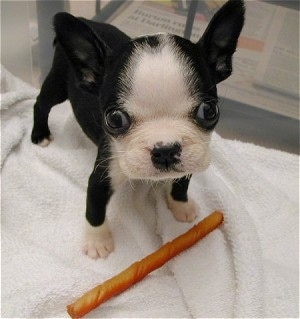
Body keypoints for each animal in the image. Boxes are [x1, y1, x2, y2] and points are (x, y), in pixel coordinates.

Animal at [31, 0, 245, 258]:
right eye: (115, 119)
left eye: (209, 111)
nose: (165, 149)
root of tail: (87, 20)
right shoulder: (102, 175)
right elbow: (94, 209)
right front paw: (97, 241)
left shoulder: (193, 156)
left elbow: (181, 183)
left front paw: (180, 205)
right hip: (58, 84)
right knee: (41, 103)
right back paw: (40, 134)